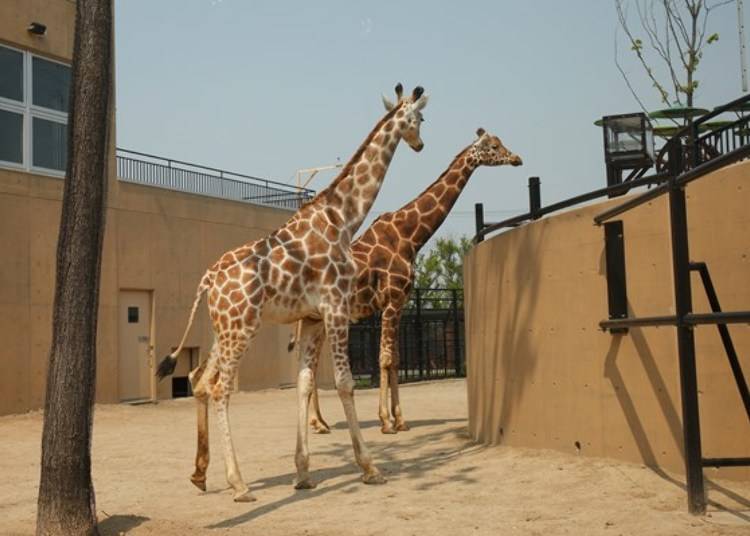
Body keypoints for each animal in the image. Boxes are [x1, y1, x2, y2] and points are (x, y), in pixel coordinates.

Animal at [156, 84, 432, 502]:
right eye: (418, 119)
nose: (419, 144)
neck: (344, 219)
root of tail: (207, 280)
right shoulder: (336, 307)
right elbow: (344, 383)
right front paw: (370, 468)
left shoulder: (312, 318)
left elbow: (303, 383)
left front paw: (303, 473)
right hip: (242, 328)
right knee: (220, 388)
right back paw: (239, 483)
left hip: (224, 328)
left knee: (202, 379)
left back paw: (201, 474)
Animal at [292, 127, 524, 434]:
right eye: (494, 146)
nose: (517, 158)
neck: (410, 236)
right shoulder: (391, 300)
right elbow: (386, 358)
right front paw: (385, 421)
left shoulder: (401, 302)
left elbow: (397, 360)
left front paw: (400, 419)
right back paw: (317, 423)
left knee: (313, 364)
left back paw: (319, 422)